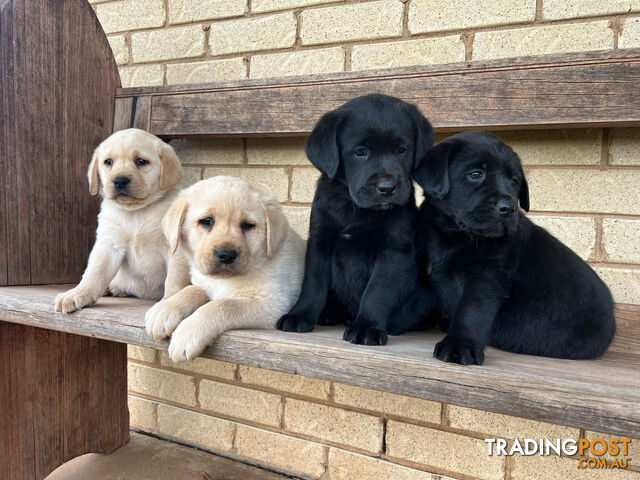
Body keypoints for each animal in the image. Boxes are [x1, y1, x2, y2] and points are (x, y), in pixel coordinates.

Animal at [54, 129, 186, 314]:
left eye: (141, 161)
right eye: (108, 162)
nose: (120, 181)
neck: (135, 212)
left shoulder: (174, 248)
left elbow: (175, 279)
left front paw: (169, 302)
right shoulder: (109, 244)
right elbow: (94, 272)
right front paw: (77, 293)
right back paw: (113, 288)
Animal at [145, 175, 304, 360]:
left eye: (247, 225)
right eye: (206, 221)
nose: (226, 255)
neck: (222, 281)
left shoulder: (272, 303)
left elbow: (222, 305)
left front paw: (188, 333)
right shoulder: (204, 284)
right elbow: (191, 290)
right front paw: (165, 309)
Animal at [276, 92, 436, 344]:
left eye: (402, 150)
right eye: (361, 152)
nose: (387, 188)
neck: (355, 208)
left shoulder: (395, 249)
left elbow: (377, 290)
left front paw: (367, 326)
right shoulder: (320, 239)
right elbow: (312, 283)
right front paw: (299, 315)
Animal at [416, 131, 616, 364]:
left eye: (514, 181)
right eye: (476, 174)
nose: (508, 208)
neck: (455, 234)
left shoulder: (485, 277)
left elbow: (471, 310)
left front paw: (460, 344)